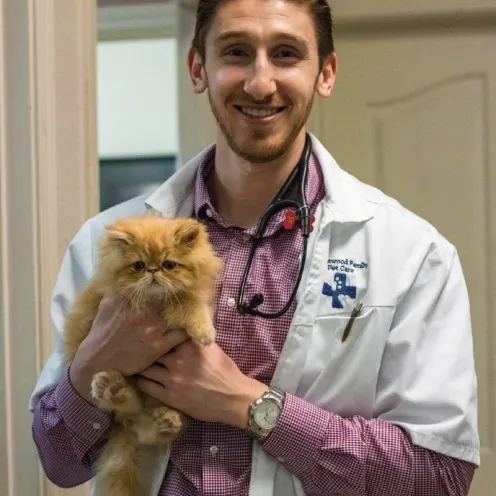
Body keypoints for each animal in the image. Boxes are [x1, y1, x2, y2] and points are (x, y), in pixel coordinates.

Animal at [63, 215, 222, 496]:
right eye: (138, 265)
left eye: (169, 264)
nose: (153, 270)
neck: (155, 300)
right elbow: (188, 306)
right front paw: (204, 332)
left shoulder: (181, 295)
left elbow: (189, 300)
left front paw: (204, 331)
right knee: (125, 410)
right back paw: (112, 388)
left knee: (144, 428)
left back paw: (164, 420)